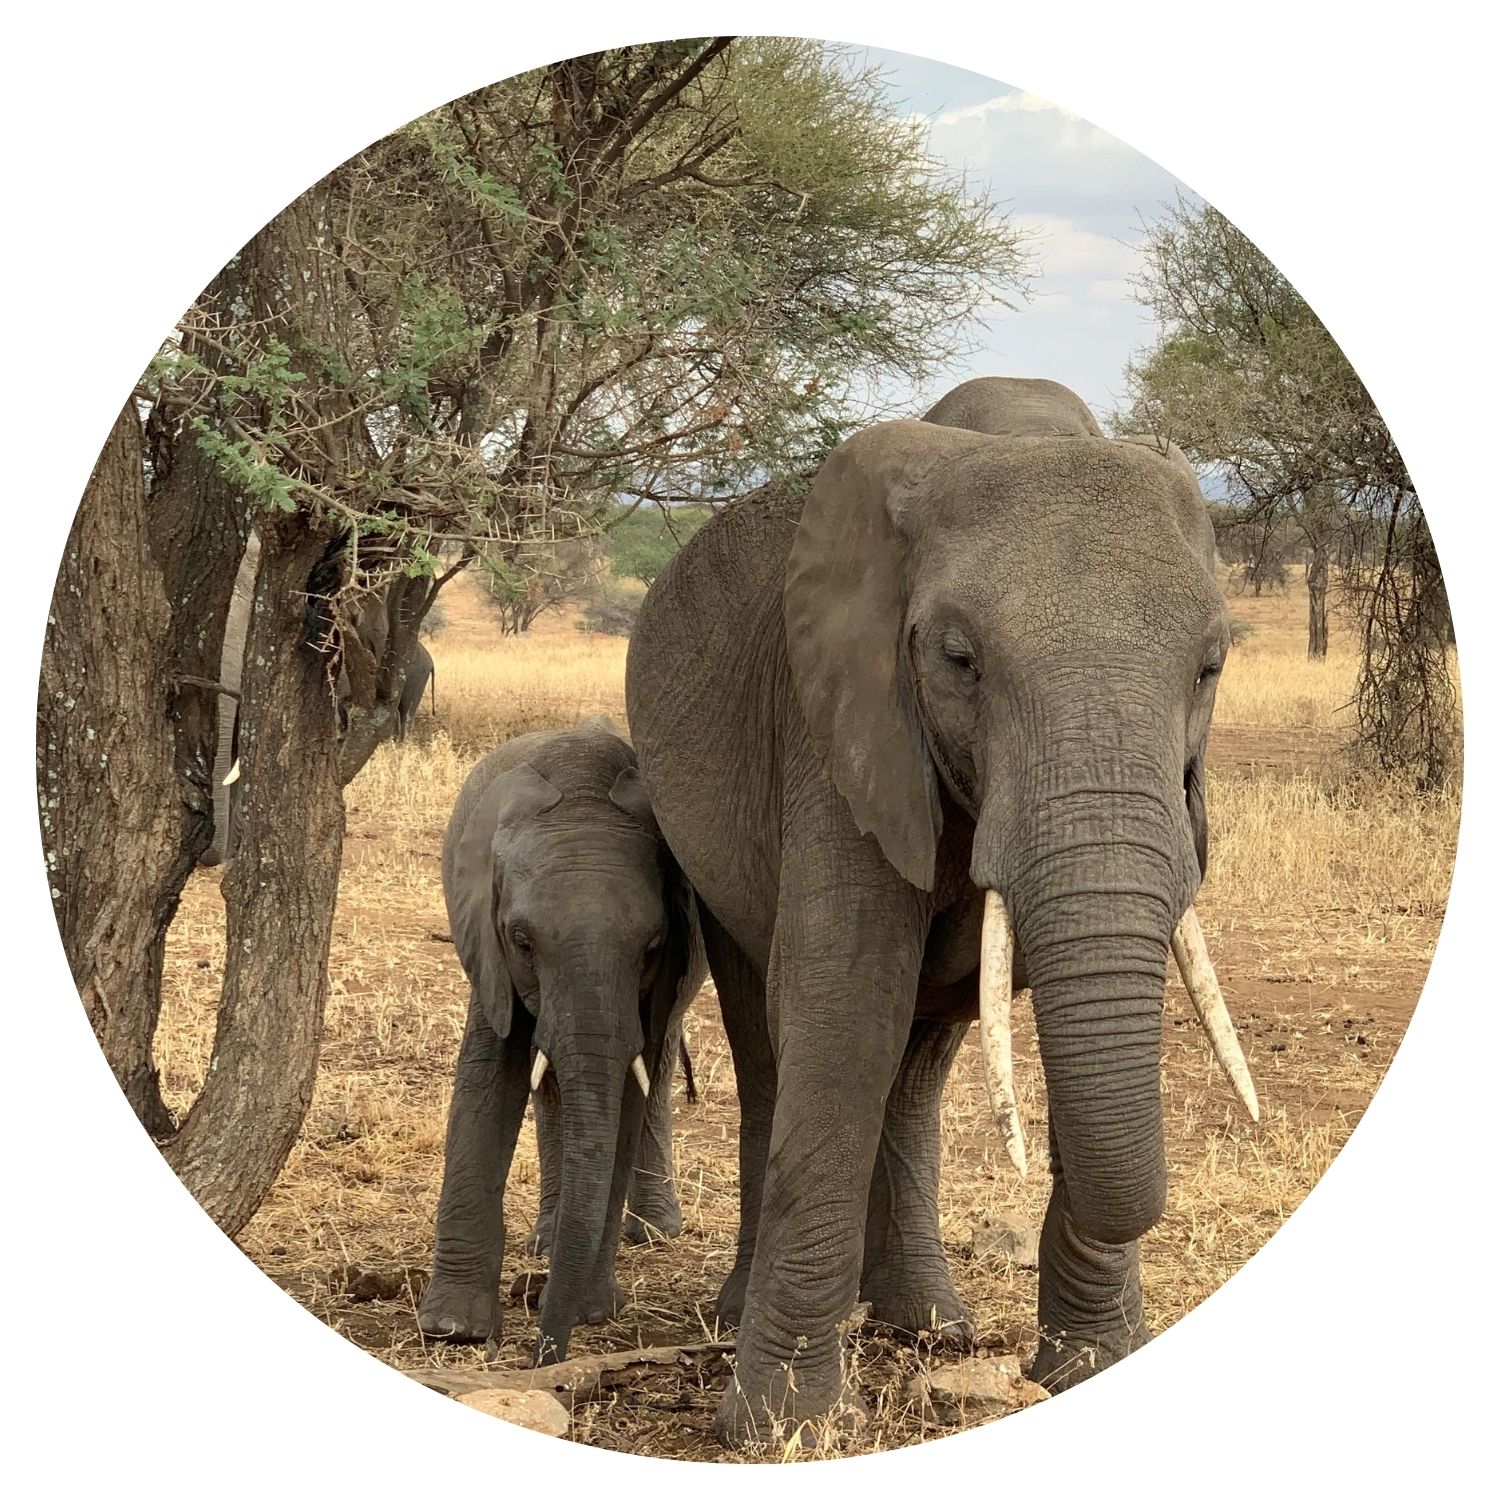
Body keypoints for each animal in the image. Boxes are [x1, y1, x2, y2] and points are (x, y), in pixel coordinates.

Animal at [416, 716, 706, 1362]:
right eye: (523, 940)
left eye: (652, 945)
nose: (541, 1356)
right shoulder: (487, 944)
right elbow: (487, 1077)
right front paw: (453, 1329)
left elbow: (624, 1097)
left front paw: (589, 1311)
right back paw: (547, 1244)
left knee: (657, 1062)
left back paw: (653, 1231)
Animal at [625, 376, 1259, 1446]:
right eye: (960, 660)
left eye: (1211, 666)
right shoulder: (838, 721)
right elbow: (843, 1010)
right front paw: (781, 1432)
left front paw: (1093, 1371)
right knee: (769, 1035)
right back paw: (750, 1315)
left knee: (922, 1060)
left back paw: (928, 1327)